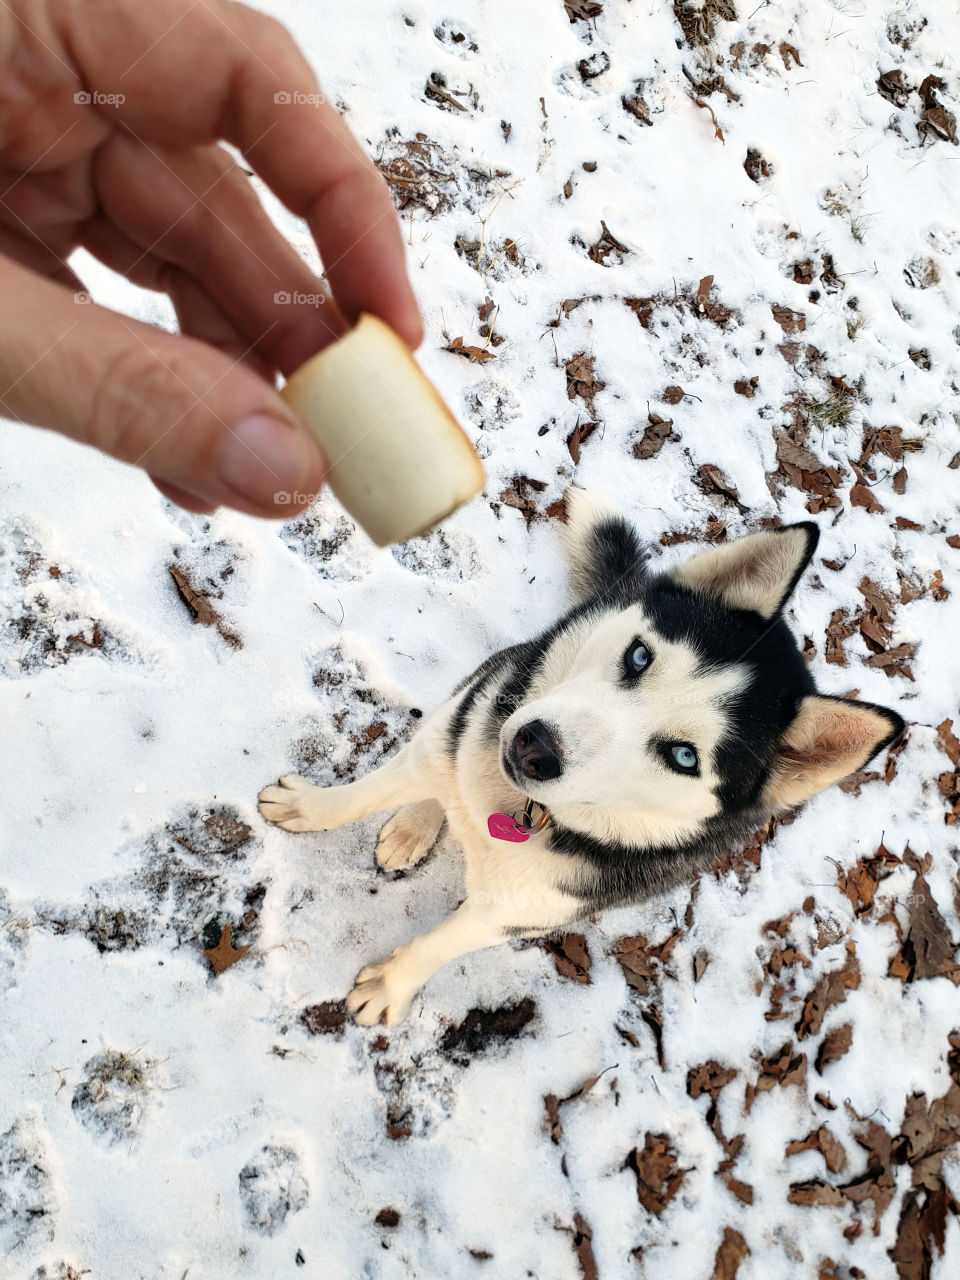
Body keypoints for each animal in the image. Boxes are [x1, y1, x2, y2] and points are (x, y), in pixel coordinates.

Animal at [259, 488, 906, 1029]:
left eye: (684, 756)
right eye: (641, 656)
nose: (535, 747)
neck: (519, 810)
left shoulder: (523, 909)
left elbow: (441, 943)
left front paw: (393, 982)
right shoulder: (468, 728)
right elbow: (363, 794)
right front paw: (311, 808)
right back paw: (417, 822)